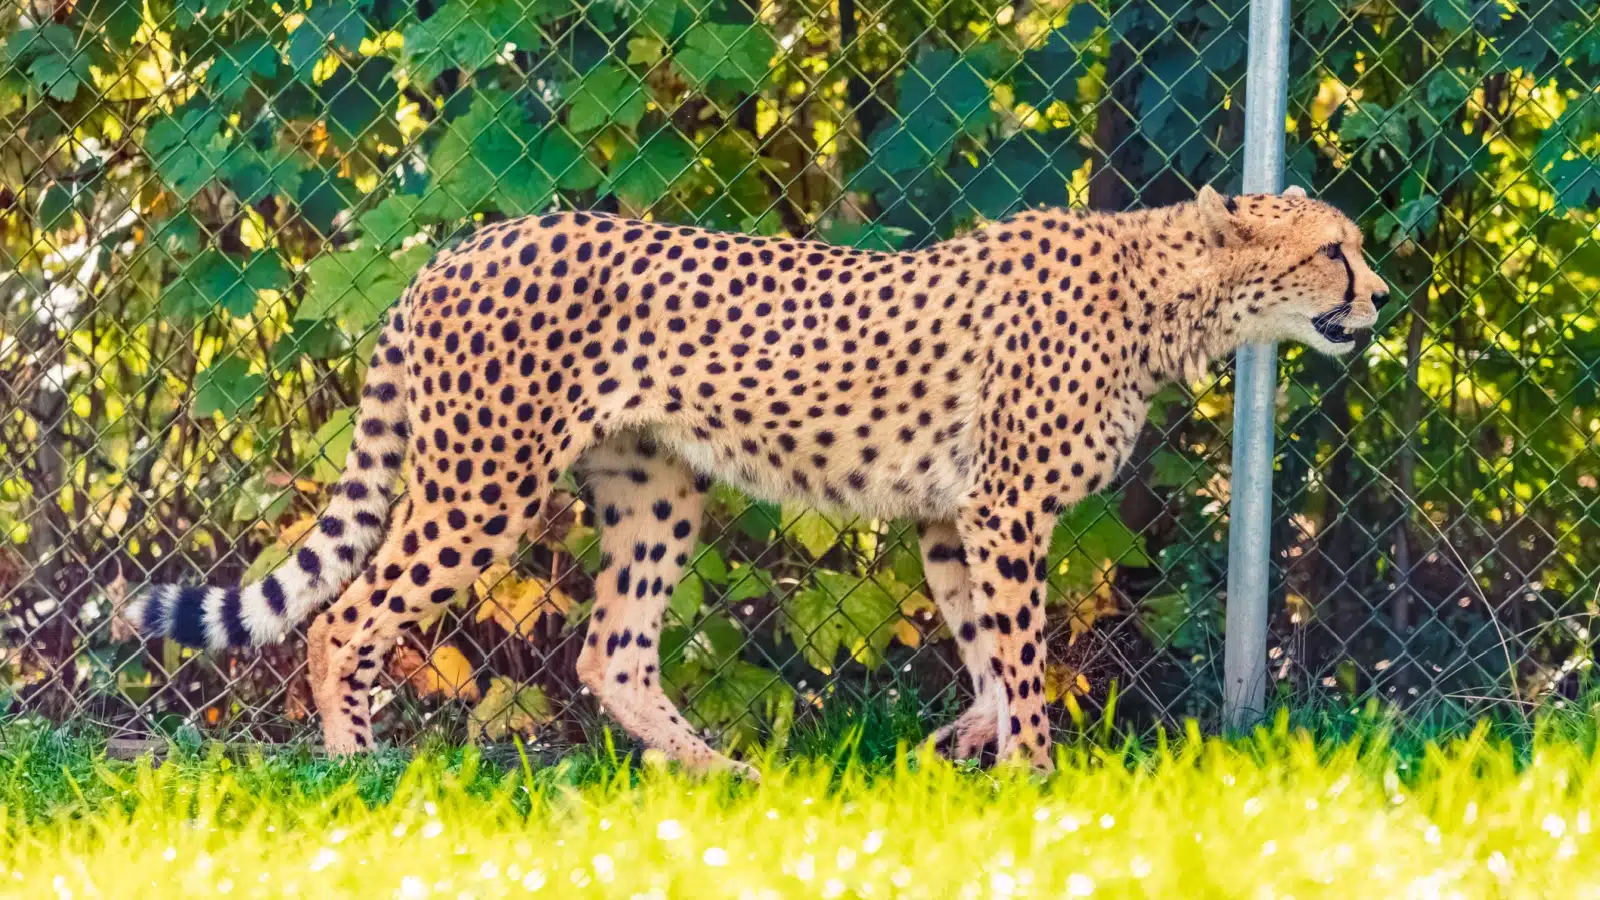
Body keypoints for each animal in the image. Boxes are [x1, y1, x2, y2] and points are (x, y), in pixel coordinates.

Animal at [121, 184, 1388, 774]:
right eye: (1334, 249)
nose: (1379, 298)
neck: (1169, 295)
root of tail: (464, 243)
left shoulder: (949, 517)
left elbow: (988, 654)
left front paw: (957, 753)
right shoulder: (1004, 509)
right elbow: (1023, 661)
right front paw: (1039, 776)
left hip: (657, 489)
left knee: (611, 651)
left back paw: (727, 776)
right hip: (484, 483)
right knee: (346, 618)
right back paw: (361, 770)